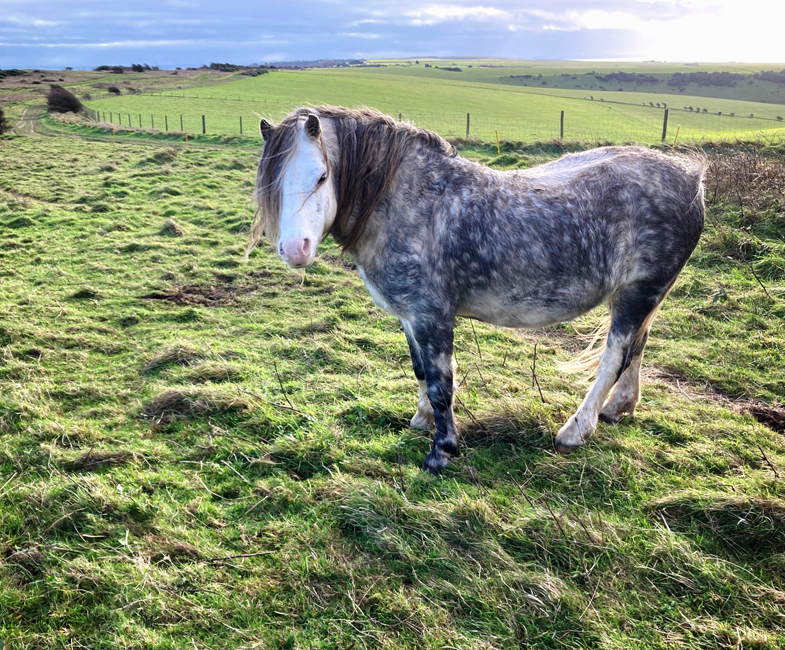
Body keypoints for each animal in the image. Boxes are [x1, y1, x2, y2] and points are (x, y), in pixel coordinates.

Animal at [247, 105, 704, 470]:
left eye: (322, 176)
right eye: (271, 184)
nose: (295, 249)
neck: (411, 202)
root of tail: (690, 178)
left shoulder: (432, 315)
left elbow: (440, 381)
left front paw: (441, 450)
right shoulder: (410, 318)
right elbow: (420, 371)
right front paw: (421, 422)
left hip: (639, 292)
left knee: (614, 357)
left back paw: (576, 429)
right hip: (639, 295)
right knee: (637, 349)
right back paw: (618, 408)